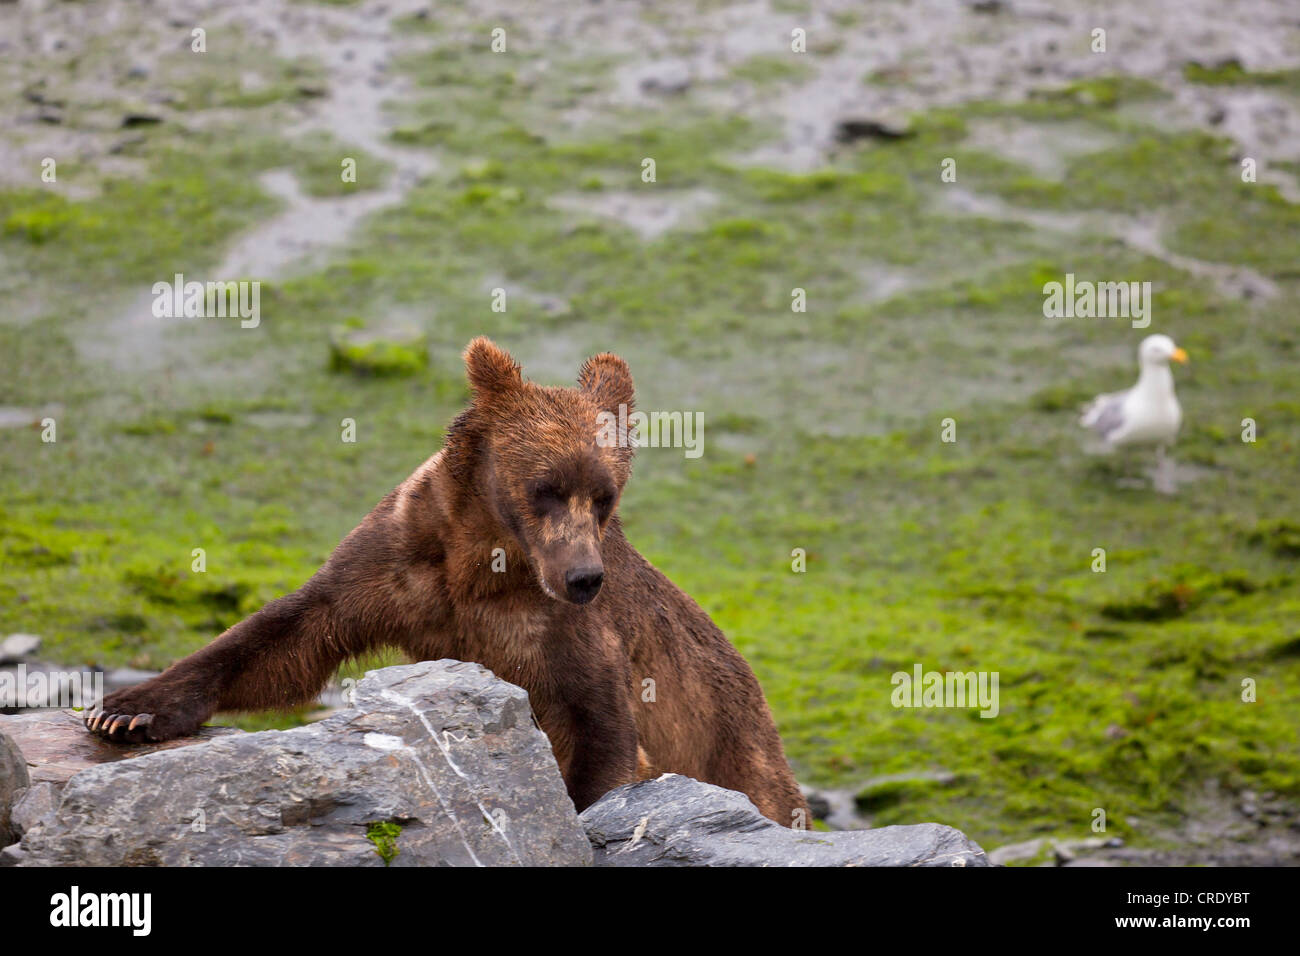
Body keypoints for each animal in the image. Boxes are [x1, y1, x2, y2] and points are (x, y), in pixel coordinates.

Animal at [85, 338, 810, 827]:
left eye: (604, 496)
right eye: (546, 488)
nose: (583, 577)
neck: (482, 563)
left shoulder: (571, 636)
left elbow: (605, 732)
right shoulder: (399, 568)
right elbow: (288, 636)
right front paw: (125, 708)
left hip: (744, 756)